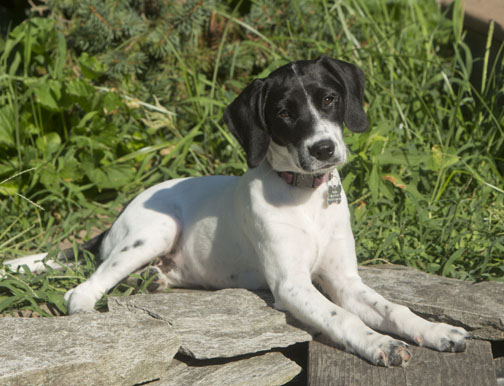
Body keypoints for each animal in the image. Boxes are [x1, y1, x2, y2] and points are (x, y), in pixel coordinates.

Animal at [4, 56, 468, 364]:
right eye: (283, 113)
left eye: (330, 98)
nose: (323, 149)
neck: (306, 198)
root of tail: (118, 217)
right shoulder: (292, 286)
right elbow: (341, 317)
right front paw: (379, 344)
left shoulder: (346, 280)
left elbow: (393, 308)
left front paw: (435, 330)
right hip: (154, 232)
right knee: (81, 290)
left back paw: (154, 279)